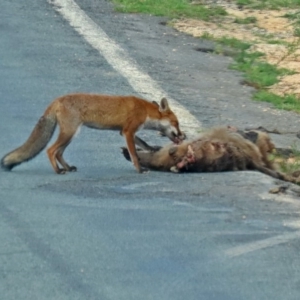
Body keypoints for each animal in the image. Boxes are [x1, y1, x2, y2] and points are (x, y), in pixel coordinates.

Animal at [1, 93, 185, 173]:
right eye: (176, 123)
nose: (183, 136)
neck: (145, 111)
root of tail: (57, 100)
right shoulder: (128, 131)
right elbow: (133, 154)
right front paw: (139, 169)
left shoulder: (124, 132)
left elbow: (143, 143)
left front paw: (152, 148)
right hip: (69, 133)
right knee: (50, 150)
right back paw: (58, 171)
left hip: (72, 134)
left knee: (59, 153)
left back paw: (67, 167)